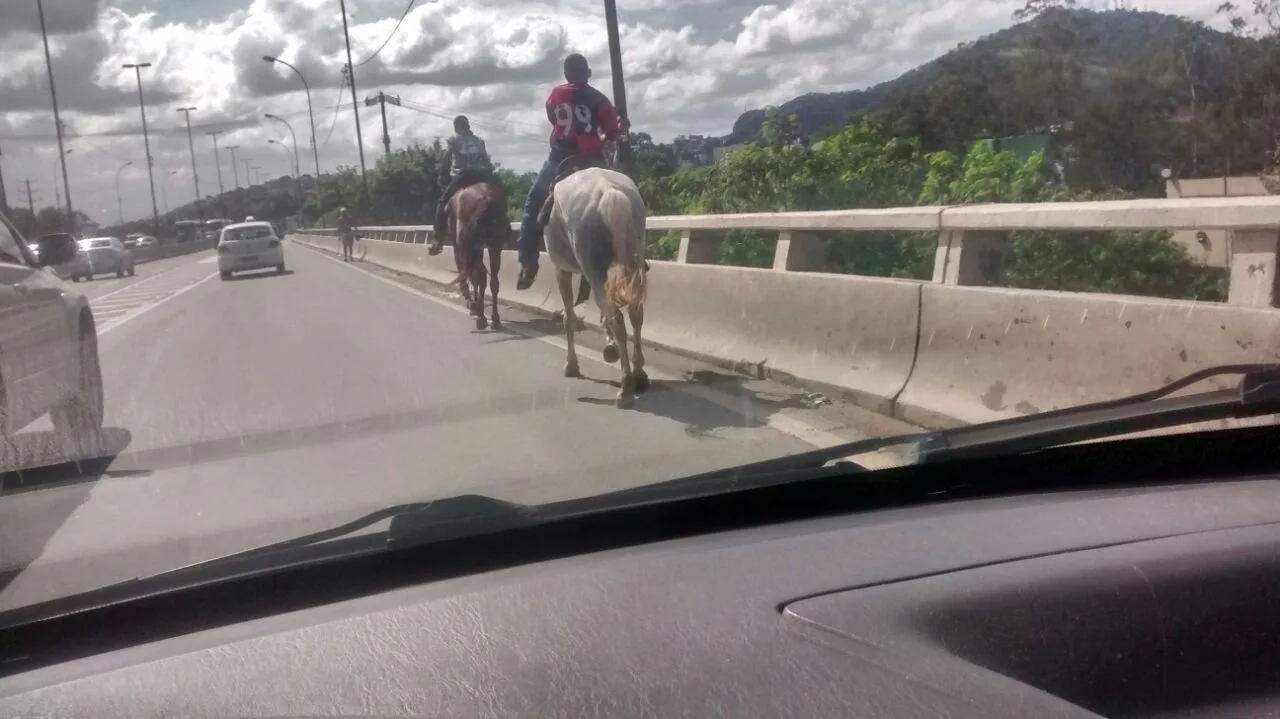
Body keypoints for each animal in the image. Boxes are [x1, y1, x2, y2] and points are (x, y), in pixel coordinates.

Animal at [440, 182, 504, 332]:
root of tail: (486, 199)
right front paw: (477, 306)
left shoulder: (460, 247)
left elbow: (470, 276)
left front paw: (473, 306)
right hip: (493, 244)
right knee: (493, 279)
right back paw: (494, 319)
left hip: (469, 245)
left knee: (478, 275)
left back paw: (480, 317)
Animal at [545, 165, 655, 406]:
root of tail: (609, 192)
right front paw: (610, 348)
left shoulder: (561, 270)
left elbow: (569, 317)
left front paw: (571, 365)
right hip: (631, 260)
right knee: (636, 314)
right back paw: (639, 373)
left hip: (592, 266)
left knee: (619, 320)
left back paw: (625, 387)